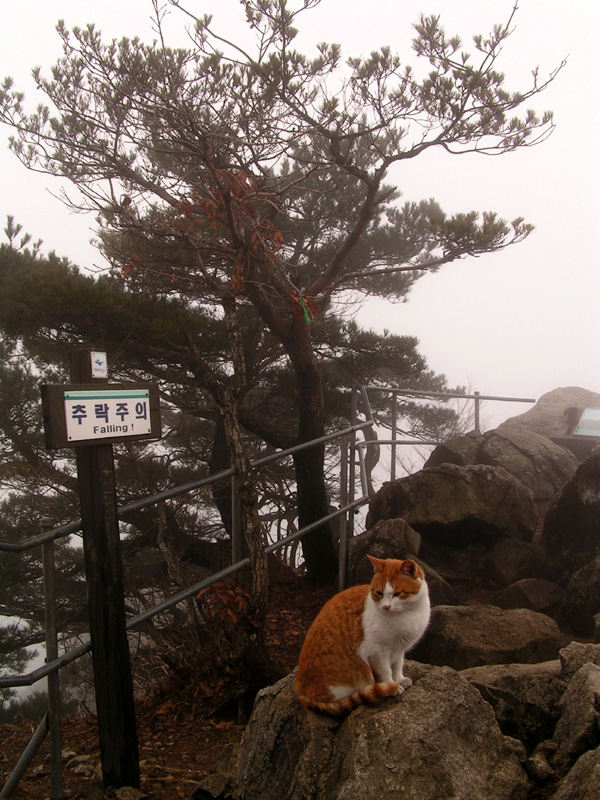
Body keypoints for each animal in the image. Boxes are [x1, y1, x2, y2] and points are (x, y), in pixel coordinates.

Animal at [294, 556, 426, 720]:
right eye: (379, 593)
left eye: (397, 594)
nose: (385, 607)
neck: (407, 615)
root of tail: (300, 691)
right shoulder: (378, 652)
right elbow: (386, 671)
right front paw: (392, 686)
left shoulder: (399, 650)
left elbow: (397, 666)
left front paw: (400, 679)